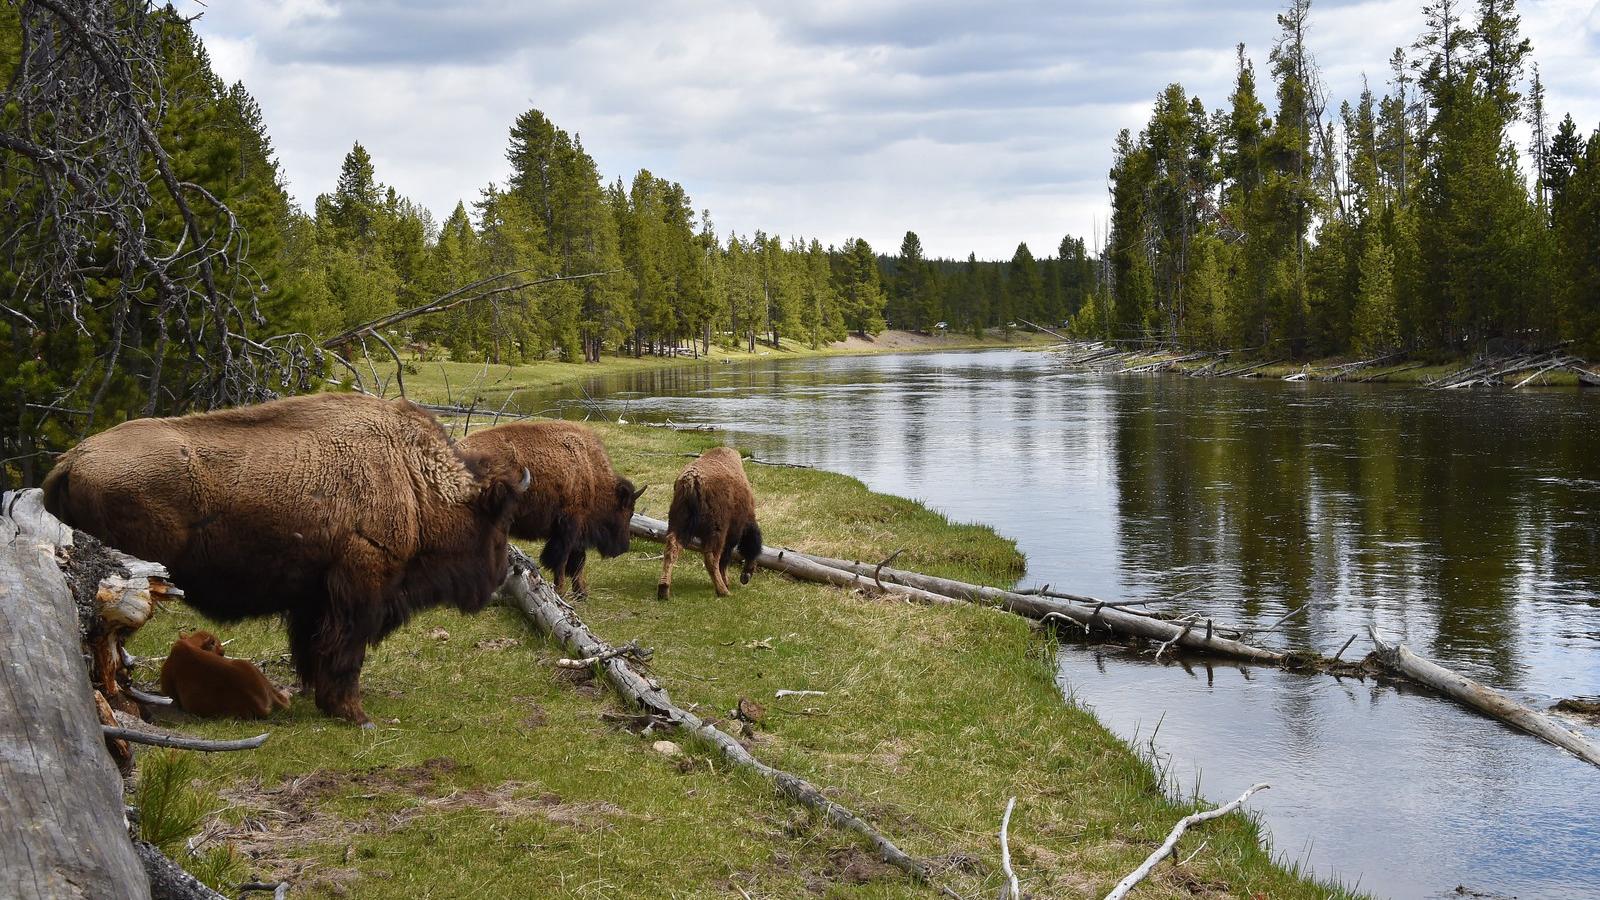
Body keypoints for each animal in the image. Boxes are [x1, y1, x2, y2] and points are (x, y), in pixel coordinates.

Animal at [457, 419, 643, 595]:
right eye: (628, 512)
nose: (623, 548)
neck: (591, 473)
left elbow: (577, 562)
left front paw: (581, 593)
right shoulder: (569, 527)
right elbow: (562, 561)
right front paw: (561, 590)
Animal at [659, 445, 764, 598]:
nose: (746, 576)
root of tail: (691, 481)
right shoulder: (732, 534)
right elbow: (724, 559)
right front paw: (726, 582)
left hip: (677, 523)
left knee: (671, 549)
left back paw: (663, 590)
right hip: (716, 531)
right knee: (712, 558)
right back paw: (723, 591)